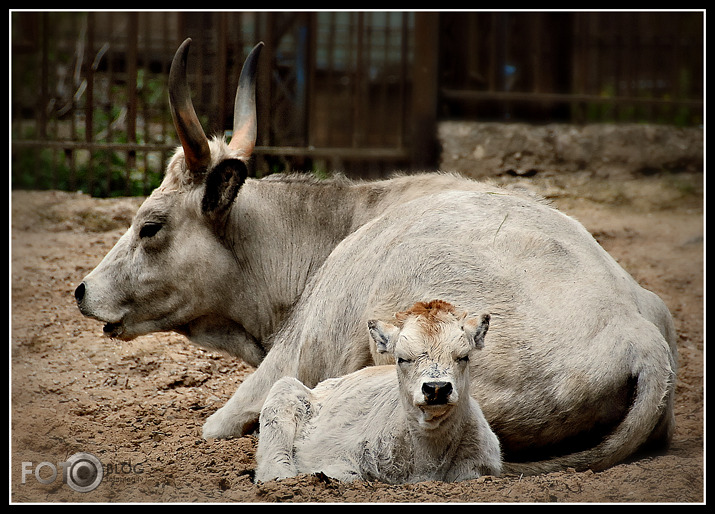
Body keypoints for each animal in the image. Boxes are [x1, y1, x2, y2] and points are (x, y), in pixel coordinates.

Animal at [255, 298, 500, 482]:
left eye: (464, 356)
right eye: (402, 358)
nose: (437, 388)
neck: (428, 458)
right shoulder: (333, 460)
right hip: (283, 390)